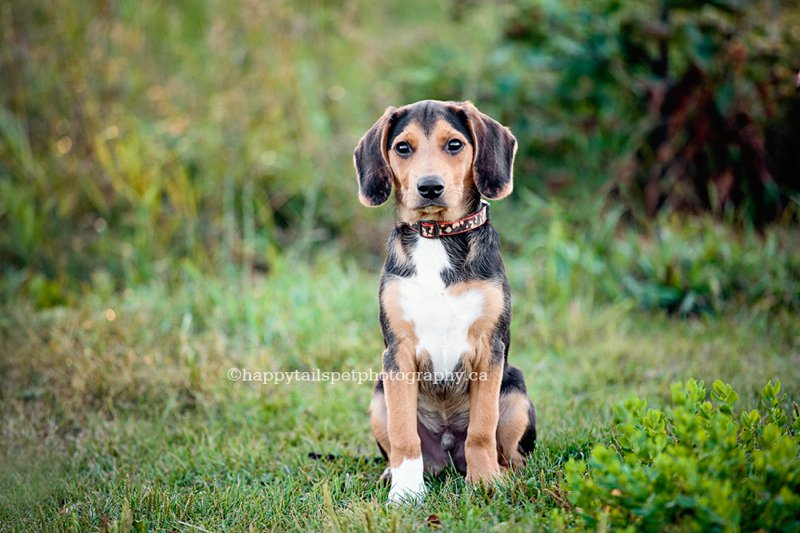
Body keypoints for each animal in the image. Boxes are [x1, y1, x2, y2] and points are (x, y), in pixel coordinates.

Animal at [354, 100, 536, 502]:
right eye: (402, 147)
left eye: (454, 144)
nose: (430, 187)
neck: (437, 236)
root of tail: (449, 454)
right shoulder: (398, 354)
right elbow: (404, 434)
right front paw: (406, 492)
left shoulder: (489, 349)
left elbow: (482, 429)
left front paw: (484, 482)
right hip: (378, 393)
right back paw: (392, 475)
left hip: (515, 390)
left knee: (511, 454)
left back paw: (504, 475)